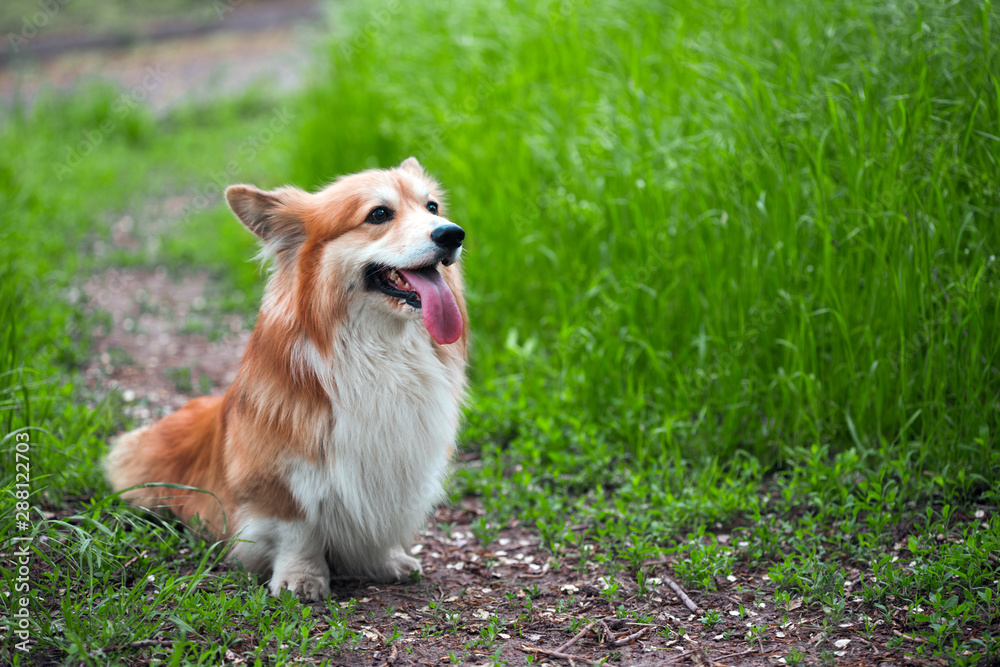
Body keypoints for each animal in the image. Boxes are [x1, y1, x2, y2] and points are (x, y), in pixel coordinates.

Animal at [105, 159, 468, 604]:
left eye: (432, 207)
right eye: (379, 214)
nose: (452, 234)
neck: (380, 350)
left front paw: (385, 561)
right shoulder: (278, 476)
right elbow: (297, 530)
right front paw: (301, 578)